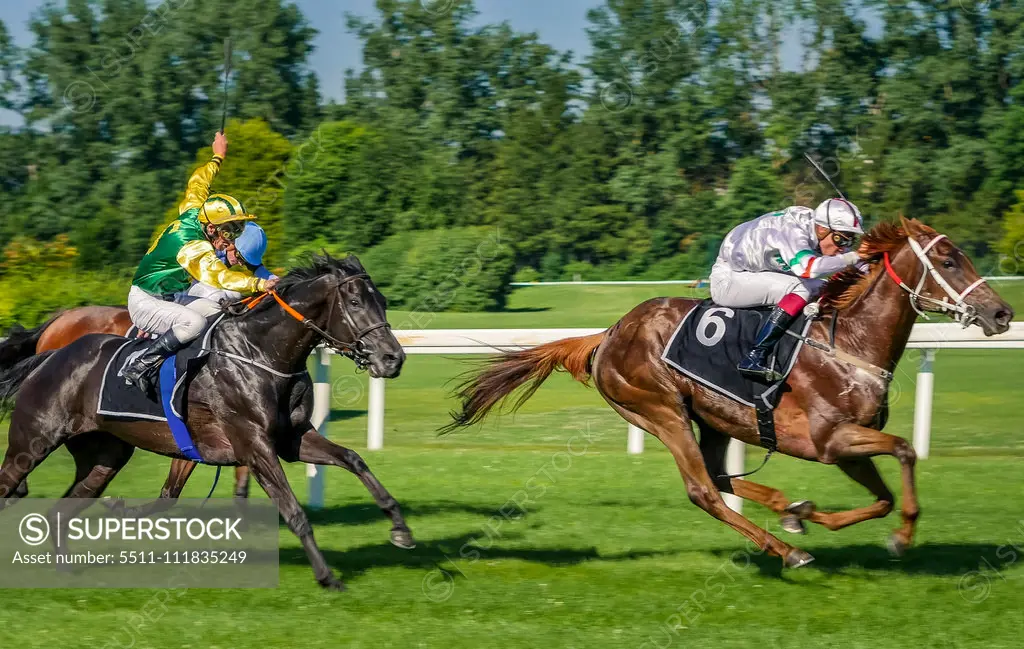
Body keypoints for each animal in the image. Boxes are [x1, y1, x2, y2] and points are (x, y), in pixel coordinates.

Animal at [448, 220, 1015, 565]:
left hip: (715, 419)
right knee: (703, 489)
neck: (848, 343)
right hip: (661, 410)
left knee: (719, 475)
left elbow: (881, 497)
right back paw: (785, 550)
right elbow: (905, 450)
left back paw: (785, 508)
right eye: (949, 260)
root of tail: (609, 333)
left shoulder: (847, 448)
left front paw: (812, 515)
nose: (1003, 313)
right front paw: (901, 536)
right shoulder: (831, 441)